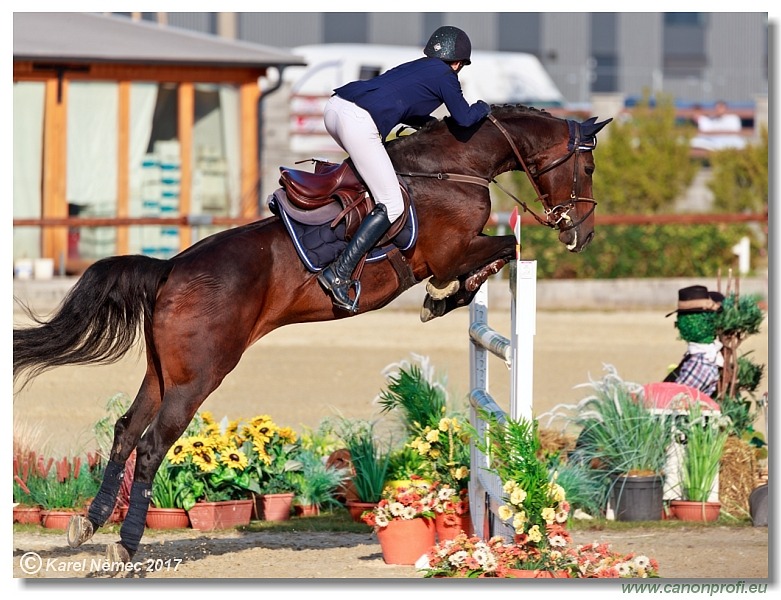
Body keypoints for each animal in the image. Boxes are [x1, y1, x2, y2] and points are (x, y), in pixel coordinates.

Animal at [12, 104, 608, 568]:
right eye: (588, 165)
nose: (581, 235)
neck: (453, 168)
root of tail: (170, 270)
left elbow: (496, 255)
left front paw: (443, 299)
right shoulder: (452, 250)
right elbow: (505, 247)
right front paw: (443, 298)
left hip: (164, 372)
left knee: (126, 431)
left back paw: (89, 525)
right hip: (199, 375)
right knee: (154, 443)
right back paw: (127, 545)